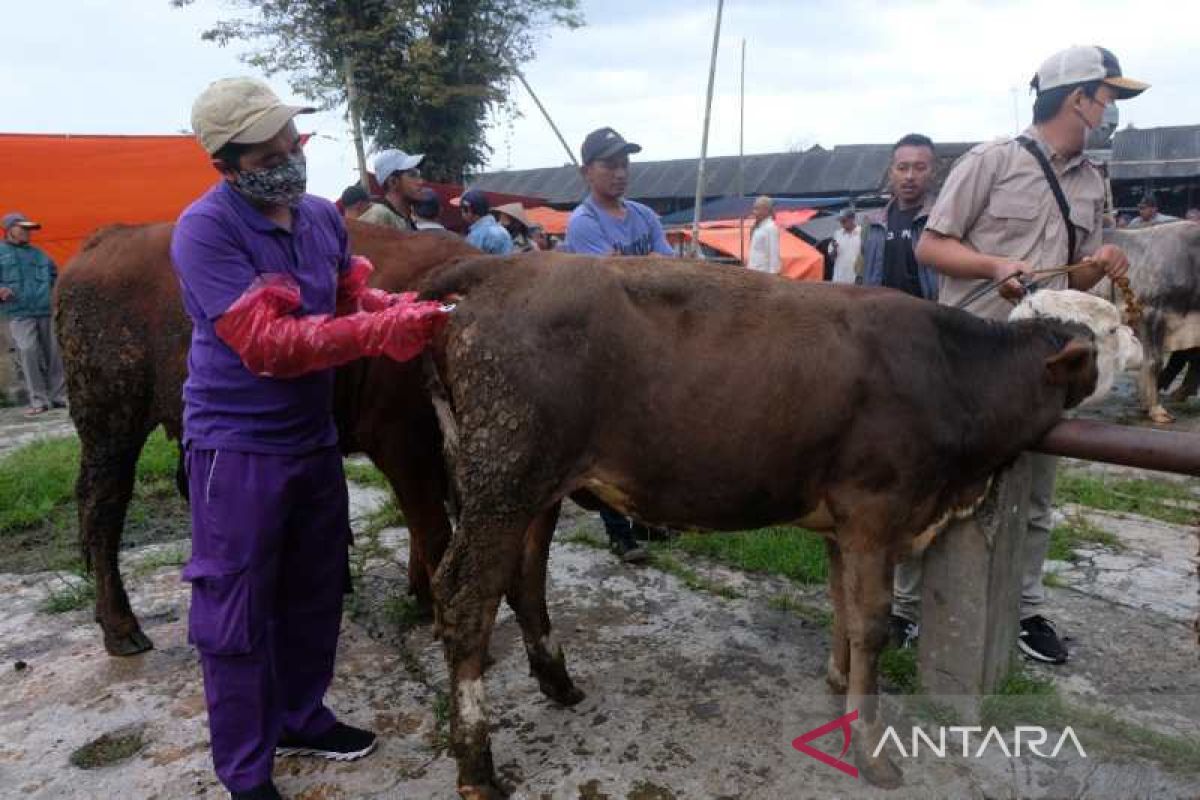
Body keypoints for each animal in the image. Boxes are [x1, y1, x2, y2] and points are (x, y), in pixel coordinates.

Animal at [52, 219, 472, 657]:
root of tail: (107, 239)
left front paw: (421, 592)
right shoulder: (400, 442)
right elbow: (433, 528)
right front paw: (437, 606)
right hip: (111, 426)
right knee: (103, 510)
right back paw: (121, 627)